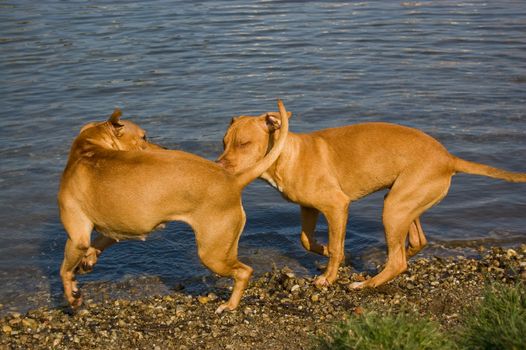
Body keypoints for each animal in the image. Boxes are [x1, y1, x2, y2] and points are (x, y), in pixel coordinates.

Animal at [58, 99, 292, 314]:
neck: (88, 150)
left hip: (212, 253)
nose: (164, 148)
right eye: (144, 137)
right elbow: (97, 243)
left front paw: (72, 296)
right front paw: (88, 259)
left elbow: (64, 271)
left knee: (244, 271)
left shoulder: (77, 237)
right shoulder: (116, 228)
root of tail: (233, 180)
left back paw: (230, 305)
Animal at [218, 108, 526, 292]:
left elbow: (336, 247)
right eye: (224, 142)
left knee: (399, 260)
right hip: (403, 202)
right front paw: (325, 251)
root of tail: (449, 159)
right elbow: (306, 240)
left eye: (244, 143)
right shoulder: (309, 209)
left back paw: (367, 284)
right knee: (415, 242)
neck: (286, 154)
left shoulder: (337, 206)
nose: (219, 166)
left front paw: (329, 275)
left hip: (394, 208)